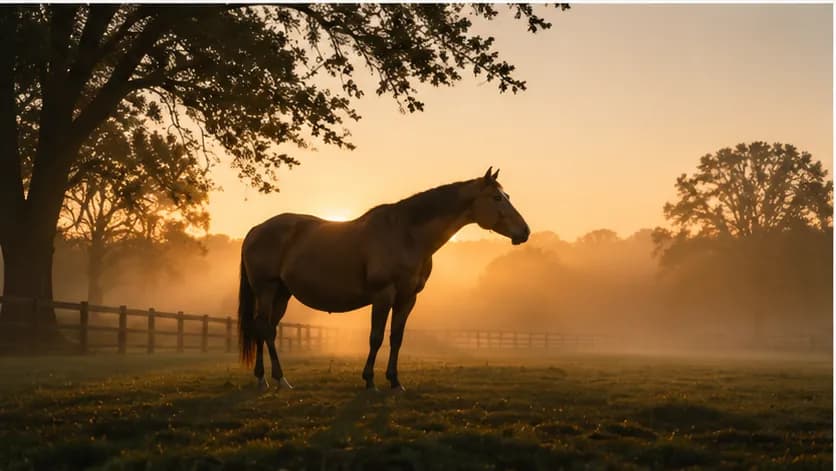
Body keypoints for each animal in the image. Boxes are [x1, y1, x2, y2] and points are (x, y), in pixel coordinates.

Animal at [237, 167, 530, 391]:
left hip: (282, 293)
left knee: (266, 328)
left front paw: (395, 381)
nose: (524, 232)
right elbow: (376, 337)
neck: (406, 234)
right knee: (264, 328)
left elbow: (396, 338)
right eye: (496, 197)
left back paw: (266, 378)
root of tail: (255, 230)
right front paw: (369, 381)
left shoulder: (407, 298)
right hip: (266, 290)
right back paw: (277, 379)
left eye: (506, 195)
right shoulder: (383, 295)